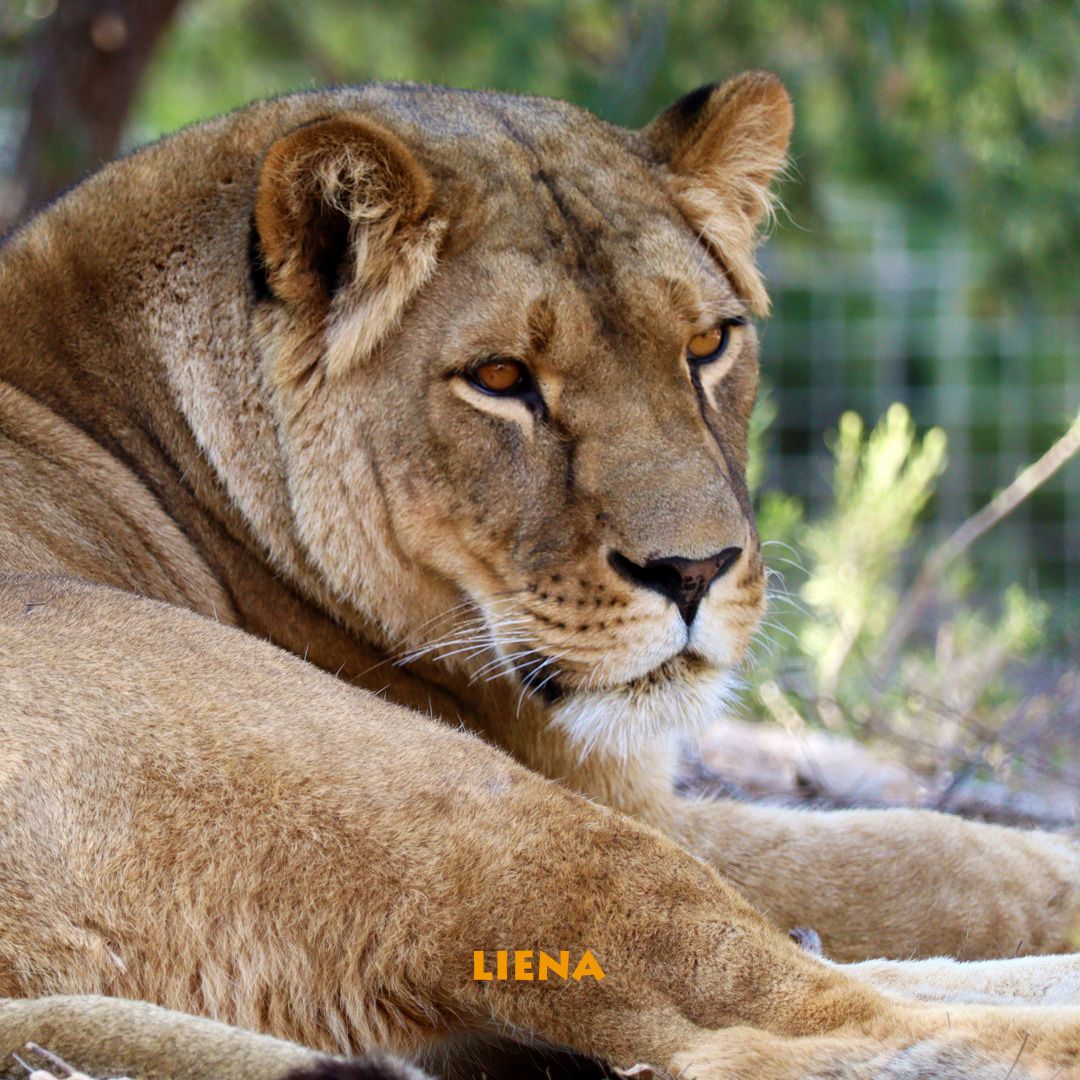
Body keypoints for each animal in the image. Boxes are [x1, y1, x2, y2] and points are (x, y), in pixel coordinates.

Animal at [1, 72, 1079, 1080]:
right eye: (501, 378)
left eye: (708, 344)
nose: (693, 571)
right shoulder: (605, 791)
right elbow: (931, 853)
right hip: (435, 796)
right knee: (776, 1030)